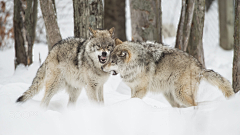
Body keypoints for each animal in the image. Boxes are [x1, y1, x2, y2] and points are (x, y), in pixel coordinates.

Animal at [101, 39, 234, 107]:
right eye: (108, 59)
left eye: (112, 62)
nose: (102, 67)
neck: (136, 65)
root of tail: (200, 67)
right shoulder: (133, 88)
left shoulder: (141, 89)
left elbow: (133, 99)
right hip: (171, 96)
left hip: (180, 94)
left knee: (195, 104)